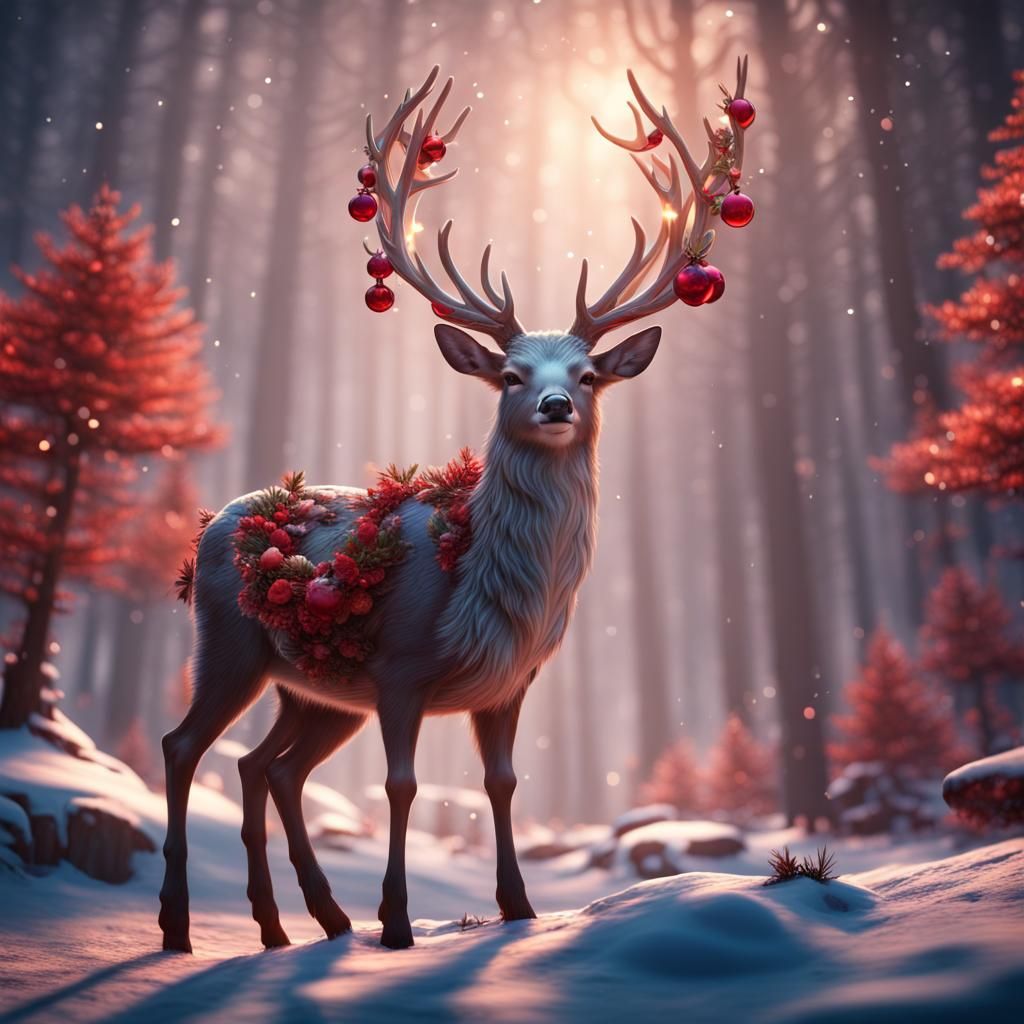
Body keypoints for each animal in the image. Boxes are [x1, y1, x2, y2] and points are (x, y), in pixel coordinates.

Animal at [159, 59, 750, 954]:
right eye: (509, 374)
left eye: (587, 374)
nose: (554, 405)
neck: (485, 584)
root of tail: (217, 526)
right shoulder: (401, 665)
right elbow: (402, 786)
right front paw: (399, 923)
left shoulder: (510, 684)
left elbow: (503, 782)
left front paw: (519, 907)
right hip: (230, 643)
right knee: (184, 744)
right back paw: (180, 927)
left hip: (314, 687)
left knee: (266, 766)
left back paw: (298, 924)